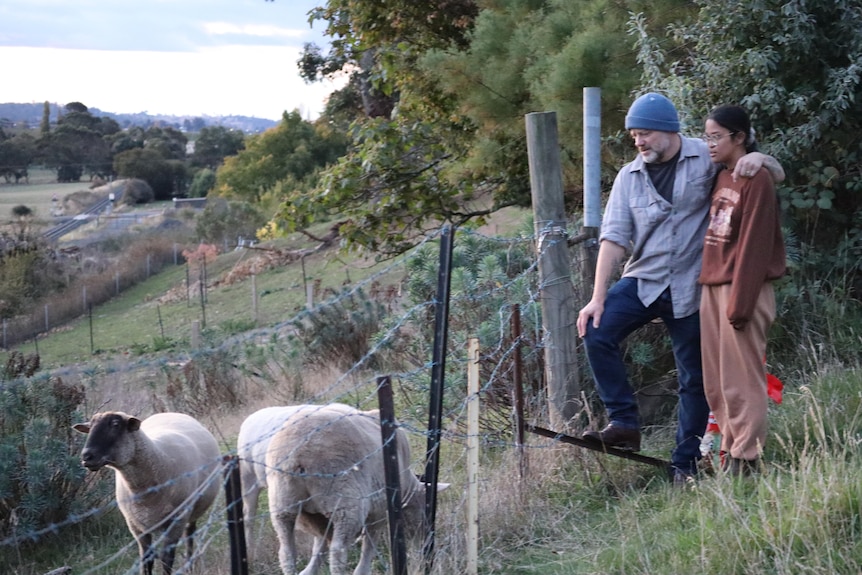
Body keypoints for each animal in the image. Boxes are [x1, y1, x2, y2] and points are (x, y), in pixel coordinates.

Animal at [74, 412, 223, 575]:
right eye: (90, 428)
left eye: (115, 424)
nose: (86, 457)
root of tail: (170, 413)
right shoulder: (135, 525)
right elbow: (146, 558)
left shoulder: (177, 520)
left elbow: (167, 558)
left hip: (191, 511)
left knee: (189, 535)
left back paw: (190, 566)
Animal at [266, 404, 448, 575]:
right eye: (426, 507)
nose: (426, 543)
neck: (407, 487)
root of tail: (297, 456)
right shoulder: (379, 510)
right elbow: (370, 544)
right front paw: (363, 569)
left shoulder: (321, 520)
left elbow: (319, 548)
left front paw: (308, 570)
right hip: (345, 502)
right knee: (338, 552)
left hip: (282, 505)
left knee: (286, 552)